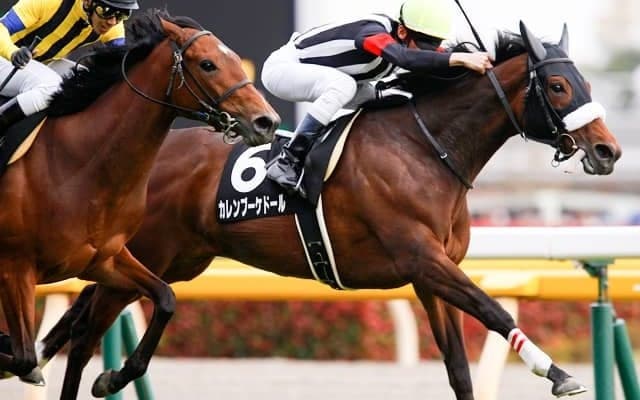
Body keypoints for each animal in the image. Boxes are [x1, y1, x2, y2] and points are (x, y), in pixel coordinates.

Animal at [0, 8, 279, 400]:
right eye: (208, 64)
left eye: (237, 60)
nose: (267, 121)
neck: (79, 164)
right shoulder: (16, 265)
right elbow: (24, 358)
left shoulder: (105, 259)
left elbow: (166, 299)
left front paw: (111, 378)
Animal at [26, 22, 619, 399]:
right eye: (559, 85)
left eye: (586, 82)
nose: (608, 150)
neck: (427, 148)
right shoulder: (423, 260)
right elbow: (496, 312)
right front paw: (558, 373)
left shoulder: (432, 276)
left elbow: (458, 367)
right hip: (144, 257)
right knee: (84, 339)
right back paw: (100, 376)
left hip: (169, 261)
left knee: (85, 318)